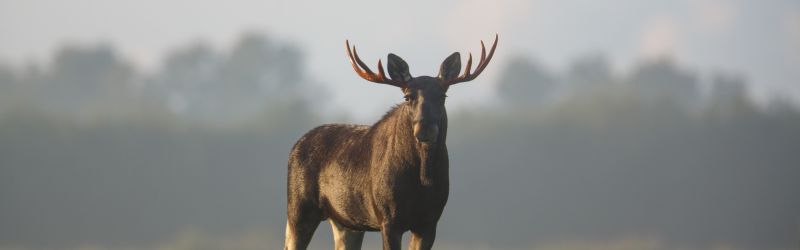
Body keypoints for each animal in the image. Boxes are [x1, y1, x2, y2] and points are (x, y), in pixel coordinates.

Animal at [284, 34, 496, 249]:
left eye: (443, 95)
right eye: (407, 97)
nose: (425, 128)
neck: (422, 180)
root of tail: (296, 145)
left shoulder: (429, 222)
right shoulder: (388, 217)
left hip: (346, 222)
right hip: (298, 209)